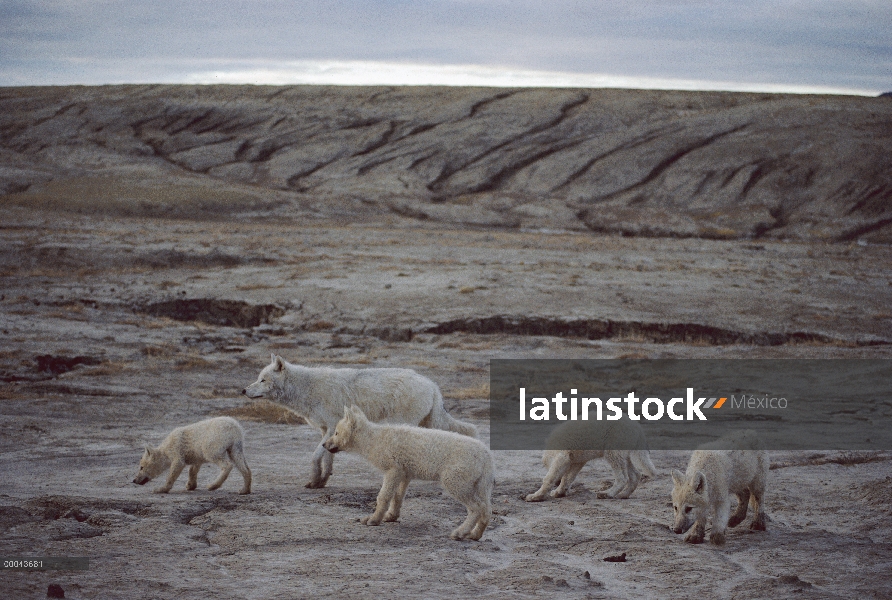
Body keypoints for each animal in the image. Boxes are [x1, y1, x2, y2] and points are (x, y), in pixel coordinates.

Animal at [244, 356, 478, 488]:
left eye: (263, 380)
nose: (243, 390)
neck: (307, 388)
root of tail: (432, 383)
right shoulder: (327, 430)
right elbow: (327, 458)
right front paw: (322, 481)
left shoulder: (330, 427)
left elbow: (315, 456)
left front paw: (314, 480)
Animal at [322, 406, 494, 540]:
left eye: (336, 433)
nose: (323, 444)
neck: (374, 440)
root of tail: (486, 454)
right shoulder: (404, 474)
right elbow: (397, 497)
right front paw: (390, 517)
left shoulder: (393, 471)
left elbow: (383, 497)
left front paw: (374, 520)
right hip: (480, 488)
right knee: (487, 510)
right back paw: (475, 535)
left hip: (453, 483)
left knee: (476, 508)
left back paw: (460, 533)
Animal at [524, 418, 656, 502]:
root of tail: (638, 428)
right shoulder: (577, 461)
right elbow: (567, 478)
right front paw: (559, 492)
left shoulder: (562, 456)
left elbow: (549, 478)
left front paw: (536, 496)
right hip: (624, 455)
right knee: (636, 475)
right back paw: (623, 495)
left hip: (613, 452)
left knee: (622, 478)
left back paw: (607, 494)